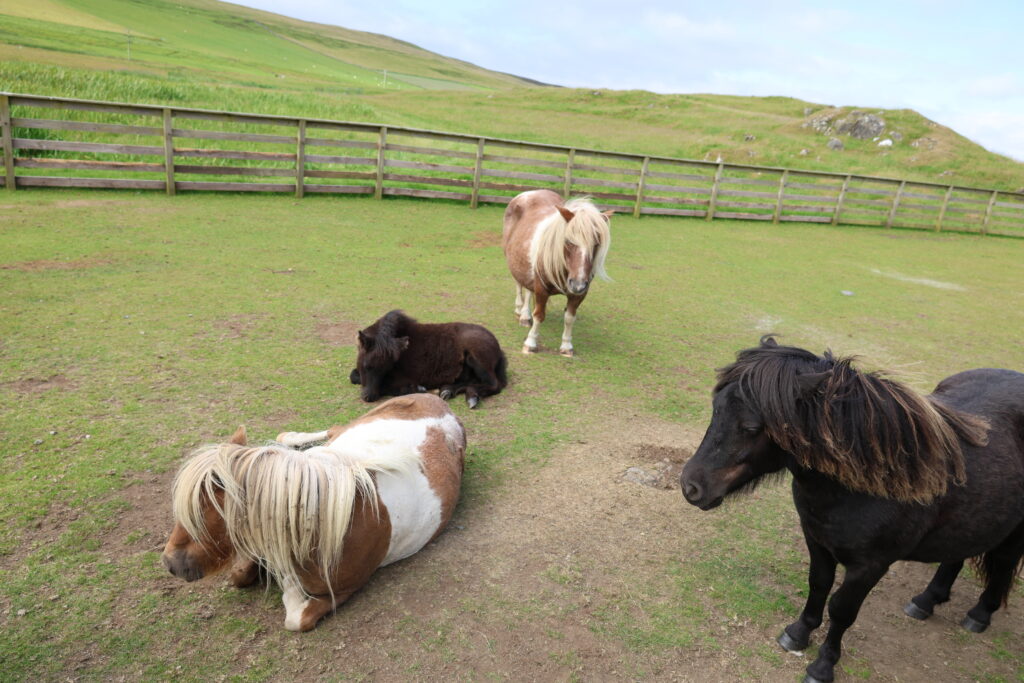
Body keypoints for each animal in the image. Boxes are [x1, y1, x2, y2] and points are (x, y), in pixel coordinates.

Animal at [161, 393, 466, 632]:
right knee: (332, 430)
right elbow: (239, 575)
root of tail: (440, 402)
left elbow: (297, 618)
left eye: (206, 509)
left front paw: (286, 582)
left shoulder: (342, 591)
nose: (171, 564)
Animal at [348, 310, 507, 409]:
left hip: (477, 360)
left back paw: (471, 397)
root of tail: (498, 347)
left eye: (386, 367)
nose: (368, 397)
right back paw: (448, 390)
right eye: (366, 365)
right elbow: (353, 375)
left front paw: (417, 388)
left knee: (494, 384)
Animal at [502, 189, 611, 356]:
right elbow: (539, 315)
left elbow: (569, 318)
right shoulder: (542, 288)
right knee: (519, 285)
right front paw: (530, 343)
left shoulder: (578, 295)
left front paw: (566, 346)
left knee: (528, 290)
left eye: (596, 244)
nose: (578, 284)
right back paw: (520, 311)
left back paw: (525, 316)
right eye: (568, 241)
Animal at [680, 336, 1024, 683]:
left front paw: (823, 665)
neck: (874, 481)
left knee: (1004, 562)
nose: (690, 486)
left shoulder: (870, 566)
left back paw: (979, 614)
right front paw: (798, 633)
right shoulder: (817, 540)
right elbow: (818, 584)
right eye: (715, 407)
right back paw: (926, 601)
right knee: (956, 556)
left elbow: (842, 610)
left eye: (751, 427)